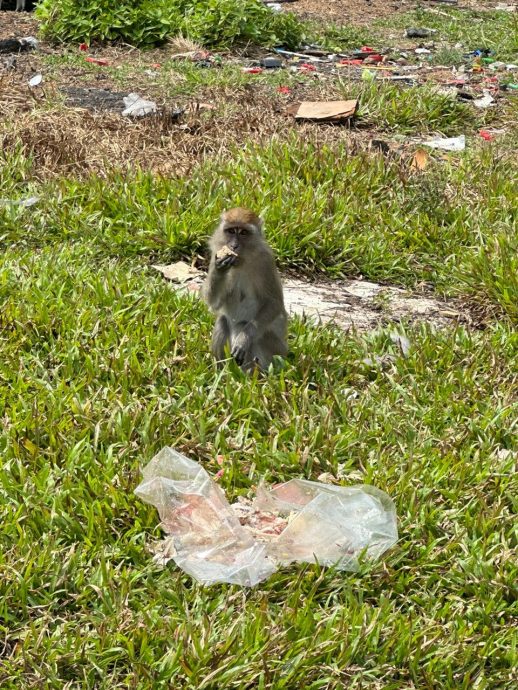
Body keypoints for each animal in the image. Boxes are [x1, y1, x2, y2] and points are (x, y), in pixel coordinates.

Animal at [202, 207, 288, 374]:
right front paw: (220, 267)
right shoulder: (215, 253)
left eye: (243, 232)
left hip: (277, 350)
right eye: (230, 231)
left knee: (247, 328)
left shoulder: (265, 261)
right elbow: (214, 303)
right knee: (222, 321)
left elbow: (274, 303)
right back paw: (222, 372)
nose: (234, 246)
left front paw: (244, 339)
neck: (241, 261)